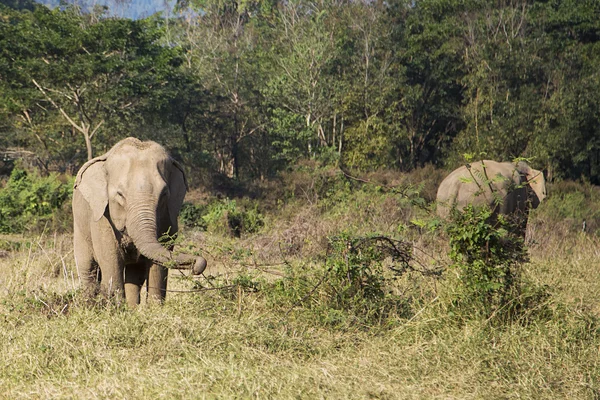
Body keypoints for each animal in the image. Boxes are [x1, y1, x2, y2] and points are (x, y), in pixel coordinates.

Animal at [72, 138, 206, 306]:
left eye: (164, 194)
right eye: (120, 195)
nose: (197, 266)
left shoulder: (167, 218)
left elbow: (158, 264)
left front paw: (154, 308)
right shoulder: (102, 218)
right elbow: (111, 261)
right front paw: (115, 307)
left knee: (135, 273)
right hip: (79, 227)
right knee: (88, 269)